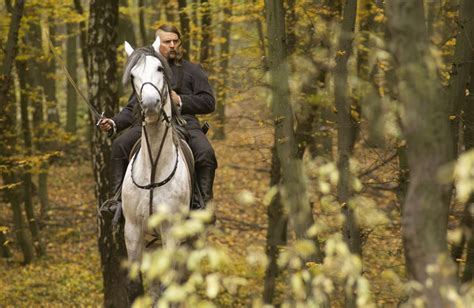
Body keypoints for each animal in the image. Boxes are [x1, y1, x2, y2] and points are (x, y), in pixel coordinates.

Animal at [120, 37, 193, 302]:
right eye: (133, 75)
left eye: (160, 69)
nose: (151, 104)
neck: (152, 169)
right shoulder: (132, 231)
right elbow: (136, 286)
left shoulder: (171, 233)